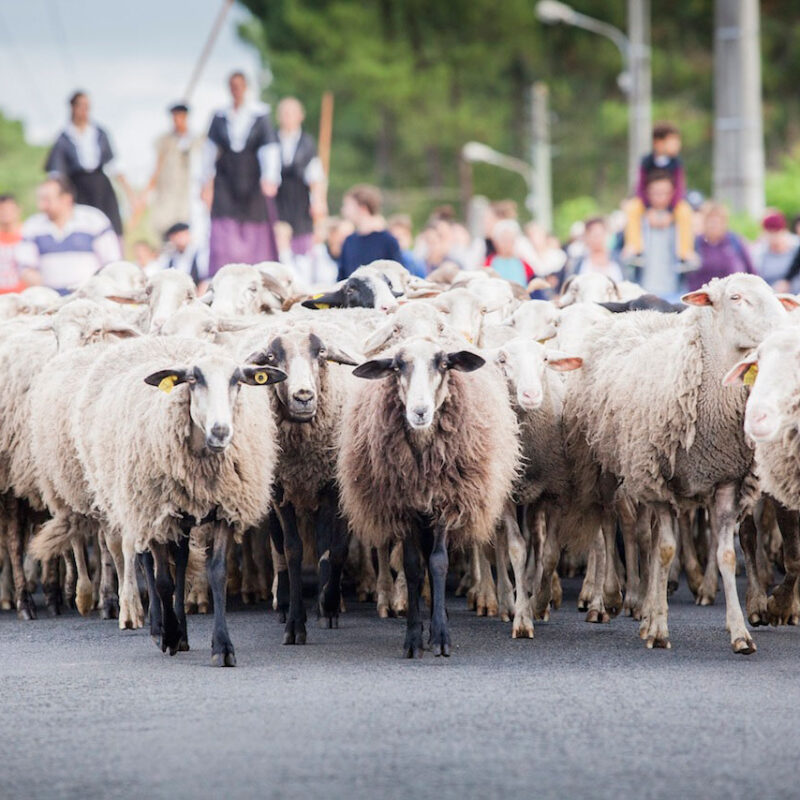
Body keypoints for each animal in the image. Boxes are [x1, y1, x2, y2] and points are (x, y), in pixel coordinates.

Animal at [72, 334, 284, 664]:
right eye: (194, 379)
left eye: (237, 380)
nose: (220, 431)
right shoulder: (157, 512)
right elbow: (162, 581)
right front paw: (168, 635)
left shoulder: (225, 508)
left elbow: (216, 573)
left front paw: (222, 646)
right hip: (138, 505)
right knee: (146, 560)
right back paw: (161, 628)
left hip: (177, 516)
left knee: (182, 560)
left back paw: (182, 631)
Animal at [340, 334, 520, 652]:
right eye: (397, 367)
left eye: (444, 364)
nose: (420, 411)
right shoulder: (405, 509)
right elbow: (413, 567)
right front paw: (413, 637)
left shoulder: (447, 504)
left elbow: (438, 563)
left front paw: (440, 636)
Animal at [560, 276, 796, 656]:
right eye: (735, 297)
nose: (785, 329)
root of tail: (634, 316)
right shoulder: (659, 481)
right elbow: (667, 549)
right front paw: (658, 630)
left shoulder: (726, 482)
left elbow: (723, 555)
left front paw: (739, 633)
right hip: (604, 466)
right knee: (606, 528)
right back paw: (605, 599)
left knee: (647, 538)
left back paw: (644, 610)